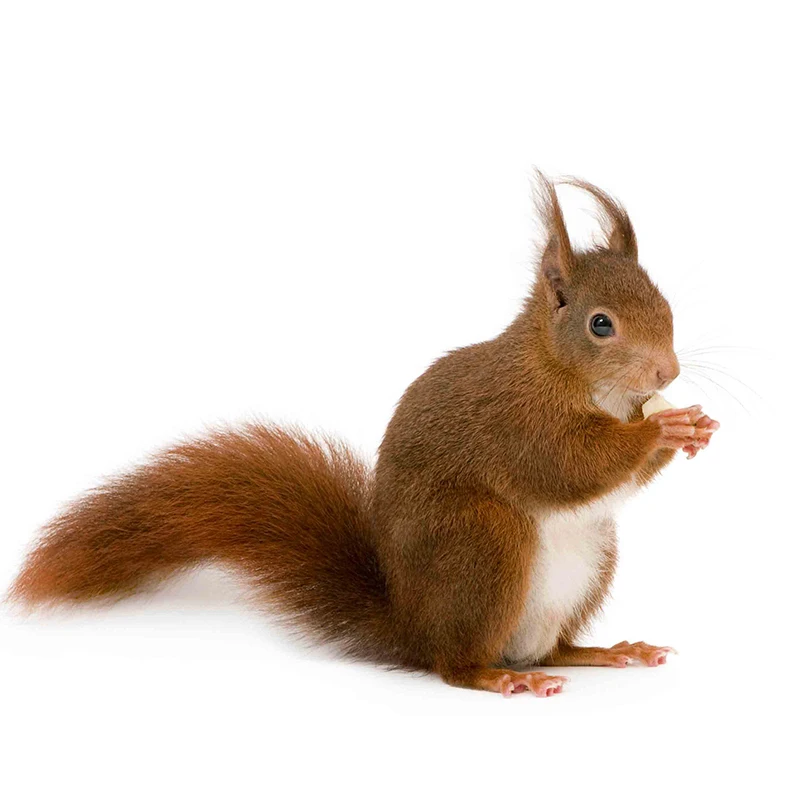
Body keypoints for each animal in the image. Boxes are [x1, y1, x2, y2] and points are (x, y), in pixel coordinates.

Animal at [10, 173, 720, 697]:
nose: (668, 373)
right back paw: (496, 677)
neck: (568, 375)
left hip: (590, 560)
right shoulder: (517, 421)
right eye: (601, 325)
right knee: (456, 665)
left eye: (664, 302)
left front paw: (693, 426)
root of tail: (412, 626)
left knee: (552, 648)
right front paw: (663, 426)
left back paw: (605, 651)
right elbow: (569, 465)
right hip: (483, 543)